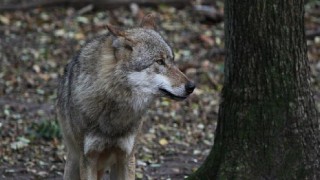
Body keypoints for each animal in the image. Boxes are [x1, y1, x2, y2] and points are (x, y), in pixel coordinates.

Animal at [57, 14, 195, 180]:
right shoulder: (88, 159)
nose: (192, 86)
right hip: (74, 163)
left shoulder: (127, 157)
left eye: (173, 60)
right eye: (159, 62)